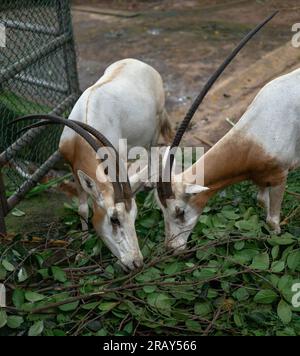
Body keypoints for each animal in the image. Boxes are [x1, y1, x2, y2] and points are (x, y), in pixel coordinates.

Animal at [14, 57, 173, 270]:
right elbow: (82, 208)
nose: (137, 263)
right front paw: (82, 248)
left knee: (152, 152)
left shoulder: (117, 160)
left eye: (134, 217)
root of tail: (141, 63)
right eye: (114, 219)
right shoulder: (73, 167)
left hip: (154, 128)